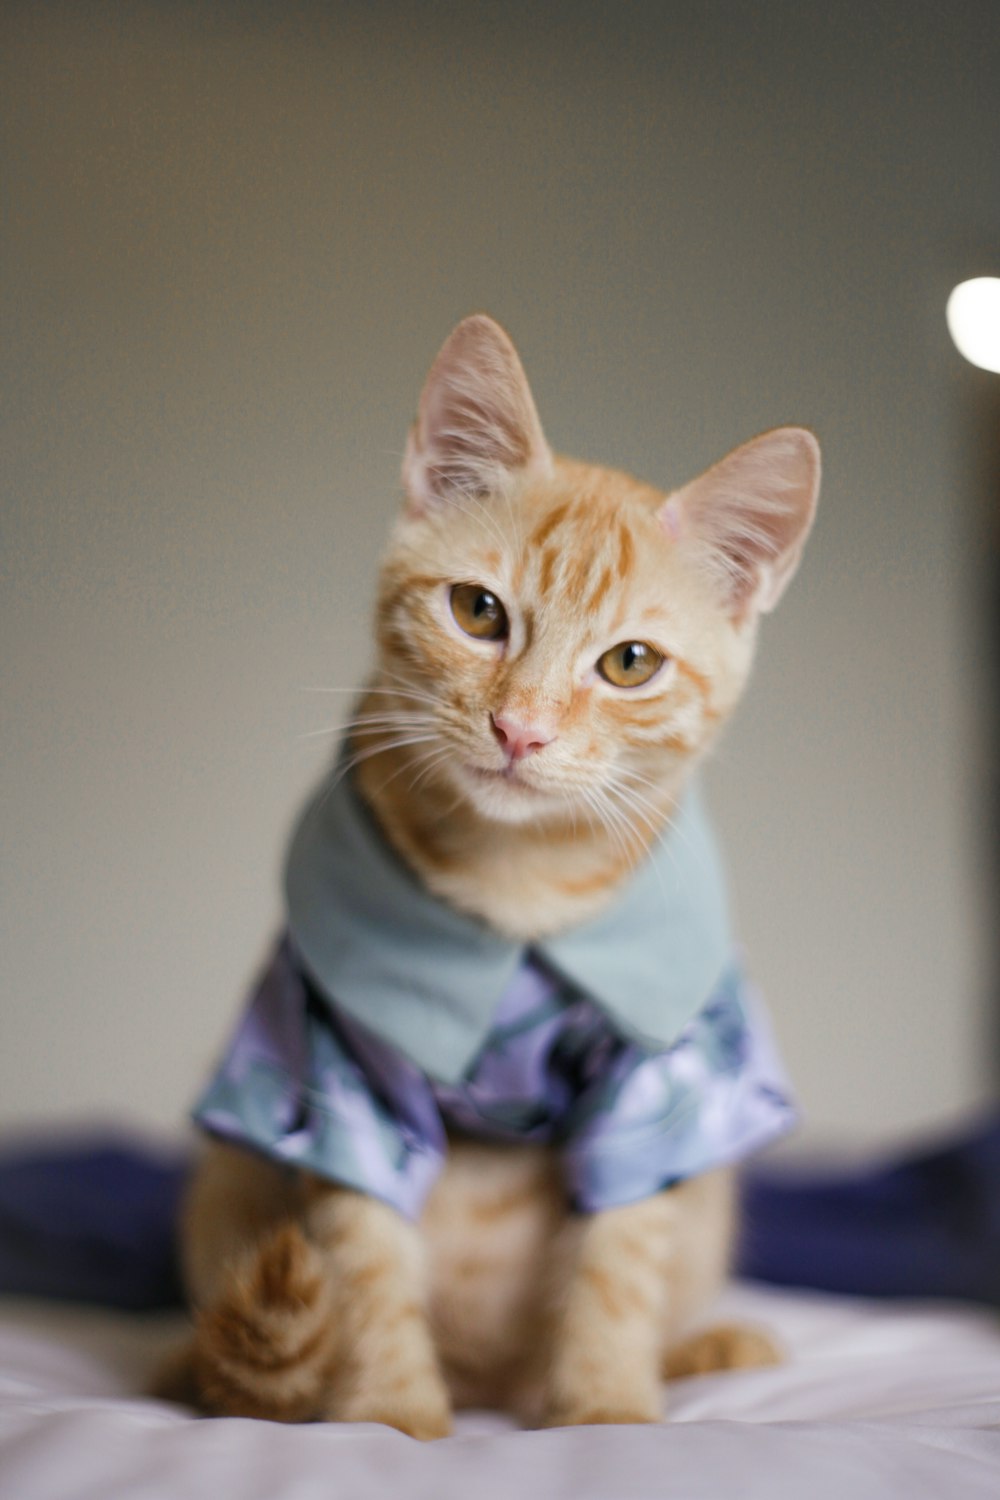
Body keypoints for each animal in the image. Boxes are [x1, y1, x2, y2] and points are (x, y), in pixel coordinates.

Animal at [158, 313, 821, 1428]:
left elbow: (618, 1258)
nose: (520, 729)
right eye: (477, 611)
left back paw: (698, 1348)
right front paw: (386, 1411)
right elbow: (364, 1254)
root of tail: (490, 1384)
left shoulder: (655, 1080)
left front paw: (605, 1406)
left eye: (630, 664)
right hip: (225, 1190)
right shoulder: (339, 1070)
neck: (515, 885)